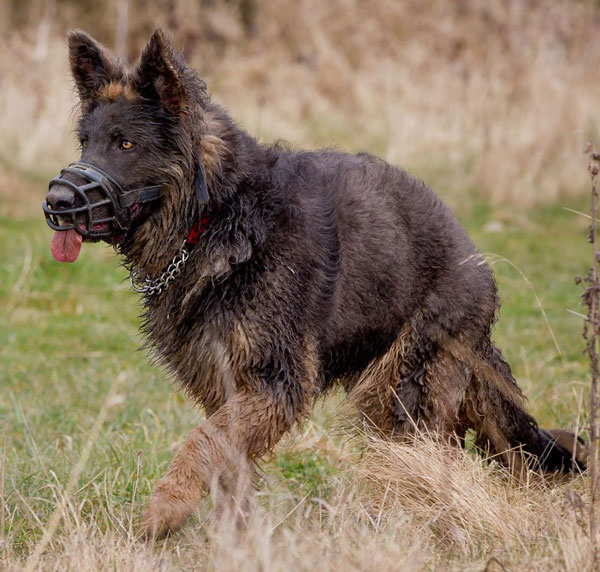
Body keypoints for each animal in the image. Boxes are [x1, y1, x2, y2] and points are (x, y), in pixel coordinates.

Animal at [43, 29, 584, 540]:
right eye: (86, 142)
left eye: (125, 144)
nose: (57, 202)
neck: (218, 214)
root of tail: (476, 258)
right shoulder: (226, 385)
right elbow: (226, 462)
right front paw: (236, 538)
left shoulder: (276, 383)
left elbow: (203, 441)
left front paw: (166, 508)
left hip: (404, 389)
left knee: (429, 455)